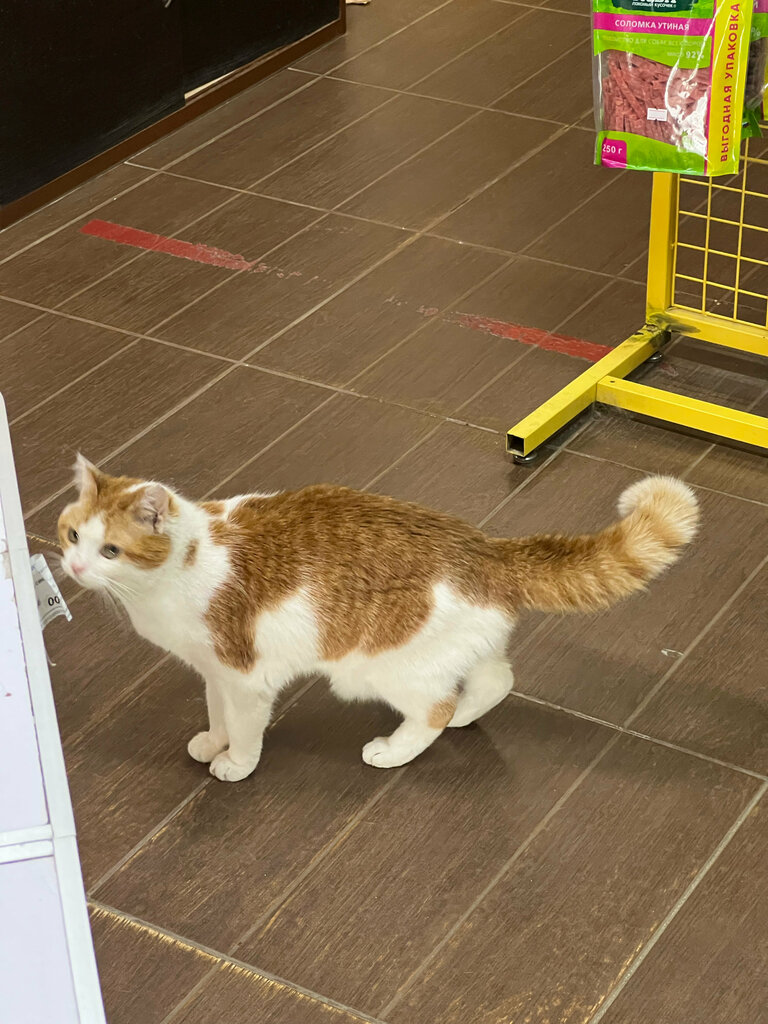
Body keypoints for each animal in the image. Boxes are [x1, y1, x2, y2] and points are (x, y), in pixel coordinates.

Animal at [58, 456, 699, 782]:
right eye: (71, 535)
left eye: (110, 550)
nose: (74, 566)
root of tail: (485, 548)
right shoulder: (214, 670)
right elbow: (215, 713)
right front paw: (211, 741)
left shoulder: (244, 676)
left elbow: (243, 727)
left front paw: (235, 762)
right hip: (462, 644)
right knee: (497, 678)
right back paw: (466, 715)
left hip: (375, 668)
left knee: (434, 708)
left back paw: (395, 749)